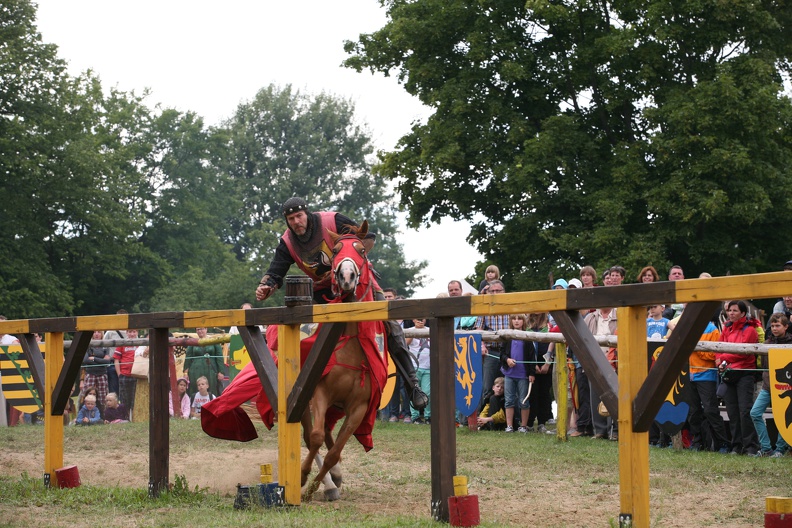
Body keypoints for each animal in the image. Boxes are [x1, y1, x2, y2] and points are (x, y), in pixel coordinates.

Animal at [302, 221, 388, 502]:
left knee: (330, 436)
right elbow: (316, 436)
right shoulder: (319, 392)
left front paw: (319, 485)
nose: (347, 276)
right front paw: (303, 477)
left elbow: (334, 452)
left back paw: (334, 478)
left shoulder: (358, 409)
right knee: (312, 432)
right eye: (337, 250)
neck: (352, 348)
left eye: (361, 250)